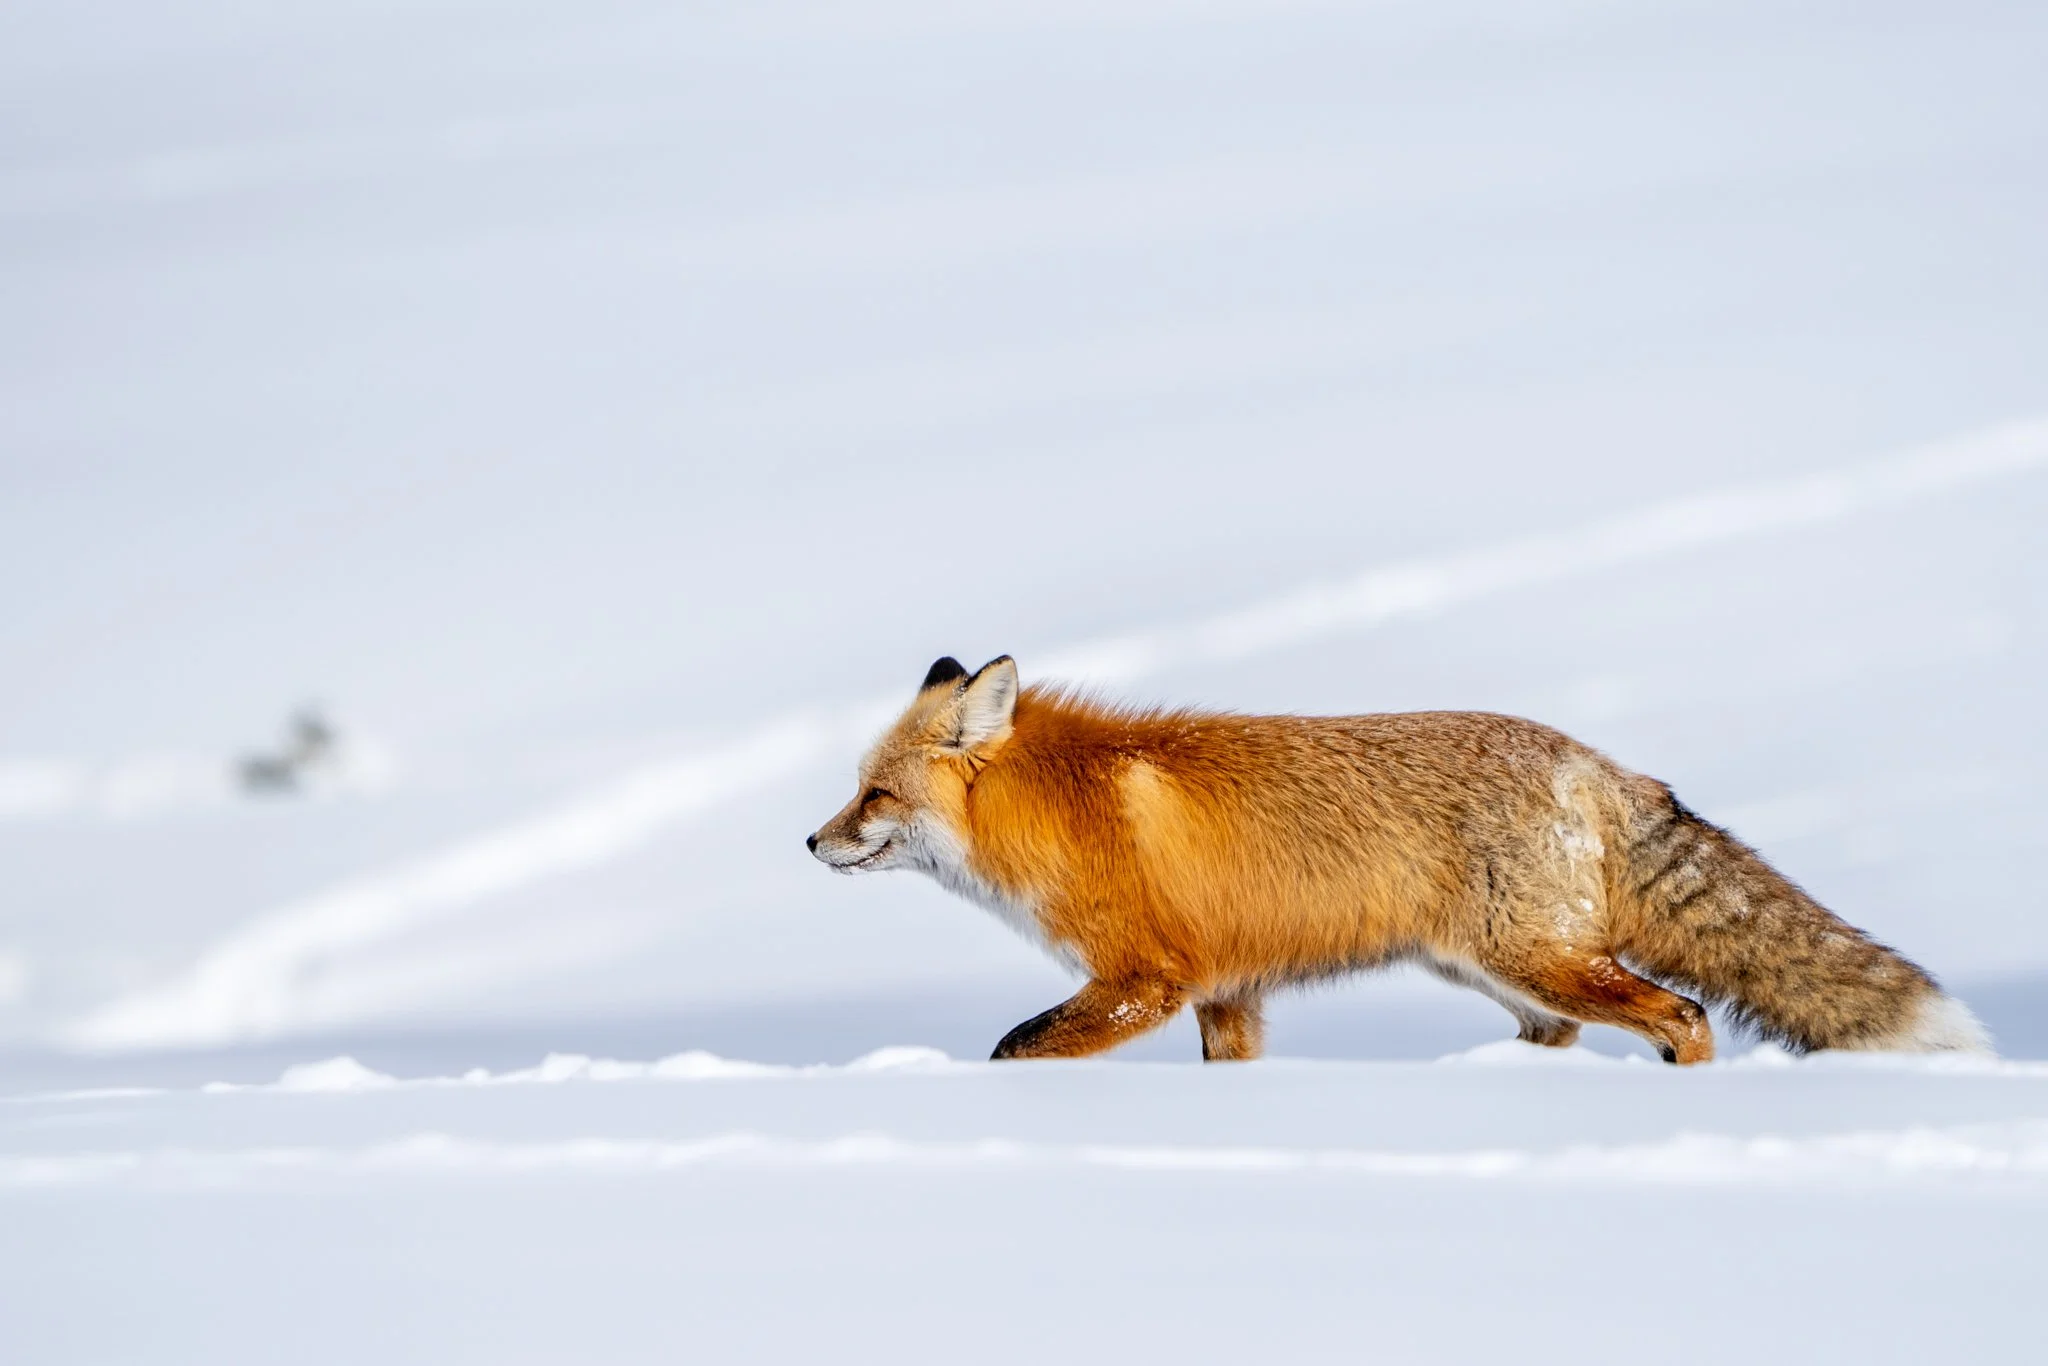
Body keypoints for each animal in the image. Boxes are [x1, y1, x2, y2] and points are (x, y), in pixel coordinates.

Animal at [806, 655, 1990, 1064]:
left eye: (873, 795)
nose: (811, 840)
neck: (1061, 811)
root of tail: (1595, 762)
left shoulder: (1145, 980)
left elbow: (1011, 1050)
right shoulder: (1227, 993)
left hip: (1535, 961)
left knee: (1685, 1016)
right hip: (1498, 975)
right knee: (1565, 1035)